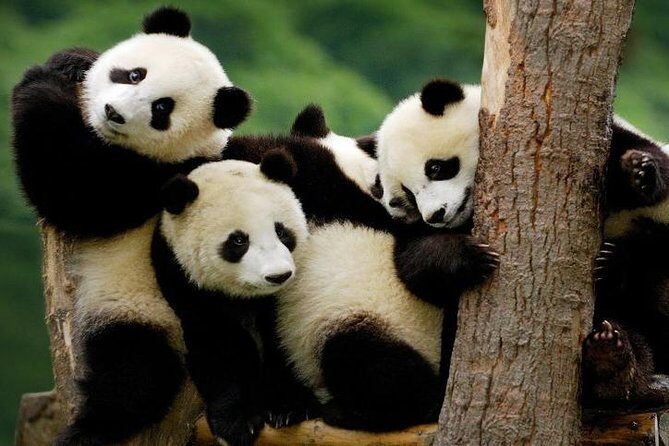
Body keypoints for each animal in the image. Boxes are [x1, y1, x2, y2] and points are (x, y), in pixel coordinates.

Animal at [10, 7, 251, 445]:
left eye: (162, 109)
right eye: (135, 74)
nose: (113, 113)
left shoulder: (158, 180)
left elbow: (73, 192)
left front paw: (39, 83)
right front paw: (71, 61)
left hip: (148, 310)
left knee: (135, 376)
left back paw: (88, 430)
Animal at [151, 156, 318, 446]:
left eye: (282, 231)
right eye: (238, 240)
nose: (278, 275)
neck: (248, 297)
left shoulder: (280, 300)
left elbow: (282, 337)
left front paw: (288, 406)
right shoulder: (183, 280)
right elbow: (218, 346)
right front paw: (238, 422)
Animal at [224, 79, 499, 431]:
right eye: (395, 187)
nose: (395, 205)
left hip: (379, 325)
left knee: (371, 365)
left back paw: (349, 410)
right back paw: (290, 407)